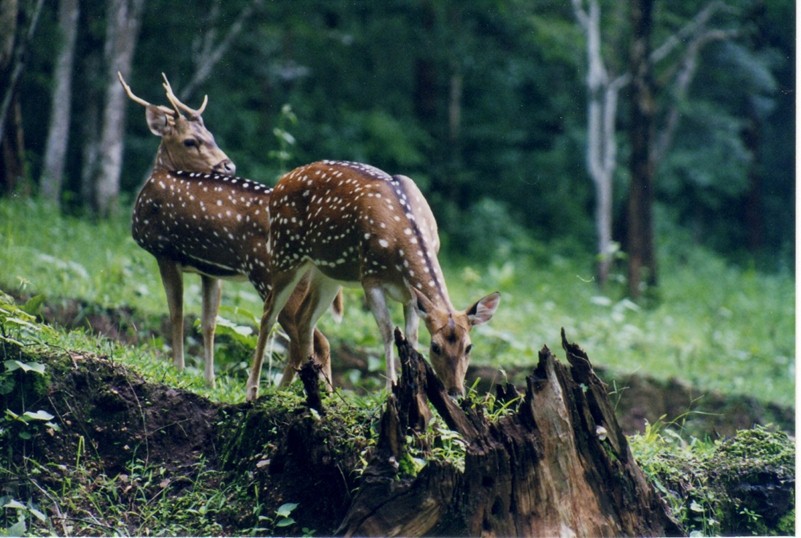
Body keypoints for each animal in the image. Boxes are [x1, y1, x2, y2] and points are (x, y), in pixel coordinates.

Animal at [121, 73, 338, 388]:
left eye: (210, 136)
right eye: (191, 141)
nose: (228, 166)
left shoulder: (165, 251)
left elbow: (177, 313)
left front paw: (178, 368)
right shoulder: (211, 270)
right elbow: (209, 322)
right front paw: (209, 380)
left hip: (269, 275)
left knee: (310, 338)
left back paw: (288, 391)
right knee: (309, 338)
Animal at [247, 161, 496, 400]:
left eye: (469, 347)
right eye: (435, 347)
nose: (455, 392)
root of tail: (280, 183)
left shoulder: (409, 296)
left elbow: (411, 337)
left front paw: (417, 389)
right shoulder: (370, 278)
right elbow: (387, 331)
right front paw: (389, 388)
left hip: (325, 272)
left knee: (304, 318)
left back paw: (318, 389)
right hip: (284, 253)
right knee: (269, 313)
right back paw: (253, 391)